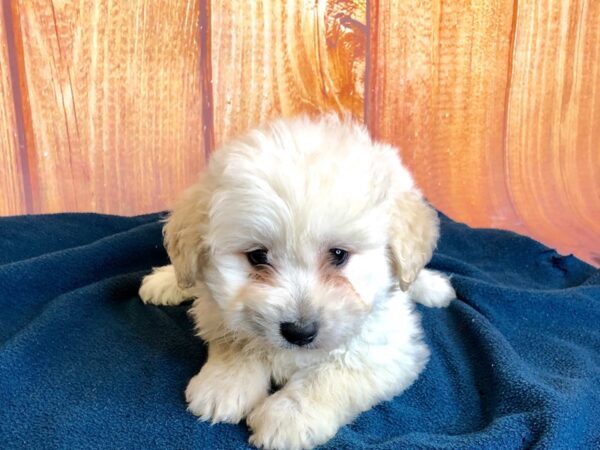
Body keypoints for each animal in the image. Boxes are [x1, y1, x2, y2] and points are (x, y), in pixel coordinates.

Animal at [139, 114, 454, 448]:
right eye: (257, 256)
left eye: (339, 254)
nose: (299, 332)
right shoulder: (220, 309)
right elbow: (236, 341)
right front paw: (224, 385)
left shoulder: (385, 349)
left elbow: (333, 375)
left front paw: (289, 416)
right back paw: (168, 281)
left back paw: (434, 287)